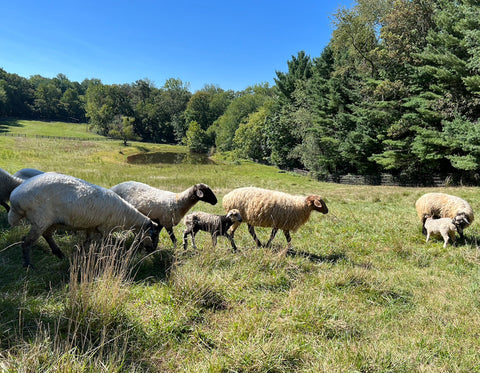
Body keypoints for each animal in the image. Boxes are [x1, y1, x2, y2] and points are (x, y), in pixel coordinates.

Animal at [7, 172, 161, 268]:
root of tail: (15, 197)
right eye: (153, 235)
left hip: (51, 221)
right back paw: (28, 264)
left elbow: (88, 241)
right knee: (26, 241)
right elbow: (105, 244)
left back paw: (59, 253)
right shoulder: (105, 228)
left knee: (47, 235)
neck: (127, 216)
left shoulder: (92, 227)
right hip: (40, 219)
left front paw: (80, 252)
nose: (152, 250)